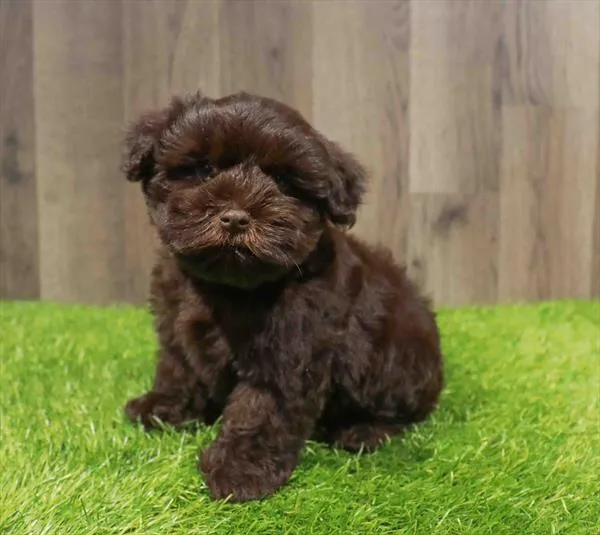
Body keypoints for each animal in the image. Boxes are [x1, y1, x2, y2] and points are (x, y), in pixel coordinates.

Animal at [122, 91, 444, 502]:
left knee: (401, 411)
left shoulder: (289, 351)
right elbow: (177, 366)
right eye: (204, 169)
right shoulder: (174, 322)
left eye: (282, 181)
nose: (235, 217)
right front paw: (164, 406)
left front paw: (240, 470)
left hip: (396, 358)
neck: (229, 285)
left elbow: (261, 407)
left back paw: (363, 431)